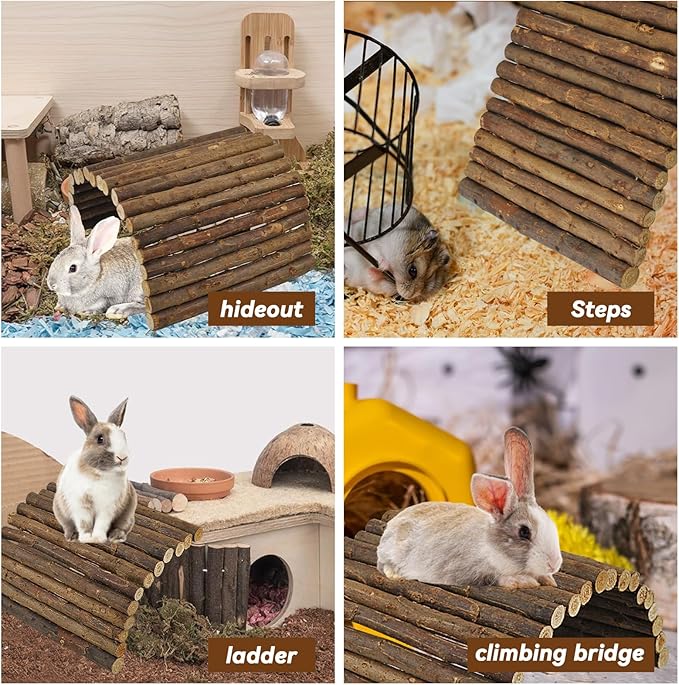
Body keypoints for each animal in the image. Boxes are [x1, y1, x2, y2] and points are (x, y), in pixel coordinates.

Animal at [53, 396, 137, 544]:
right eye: (100, 439)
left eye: (124, 436)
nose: (122, 457)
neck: (100, 473)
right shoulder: (81, 505)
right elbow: (84, 523)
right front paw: (86, 538)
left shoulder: (107, 508)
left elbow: (101, 524)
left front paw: (98, 538)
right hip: (59, 509)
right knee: (67, 525)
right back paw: (71, 536)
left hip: (128, 513)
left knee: (123, 526)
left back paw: (115, 537)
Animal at [377, 427, 562, 589]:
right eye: (524, 532)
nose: (554, 564)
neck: (490, 546)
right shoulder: (470, 571)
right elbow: (496, 578)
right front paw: (524, 581)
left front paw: (548, 579)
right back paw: (396, 574)